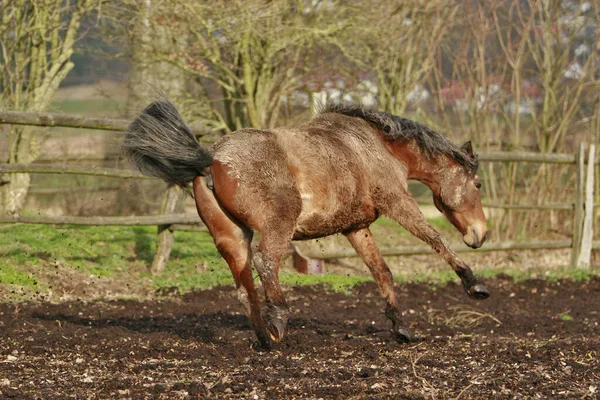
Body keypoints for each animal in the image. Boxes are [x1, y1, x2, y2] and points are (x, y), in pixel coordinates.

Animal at [124, 101, 490, 348]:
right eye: (478, 184)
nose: (480, 235)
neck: (378, 147)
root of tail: (210, 158)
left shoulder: (356, 227)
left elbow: (382, 272)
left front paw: (401, 328)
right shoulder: (398, 202)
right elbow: (435, 239)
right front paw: (474, 285)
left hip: (230, 237)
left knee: (245, 284)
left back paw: (265, 339)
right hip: (278, 224)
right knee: (265, 260)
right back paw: (279, 318)